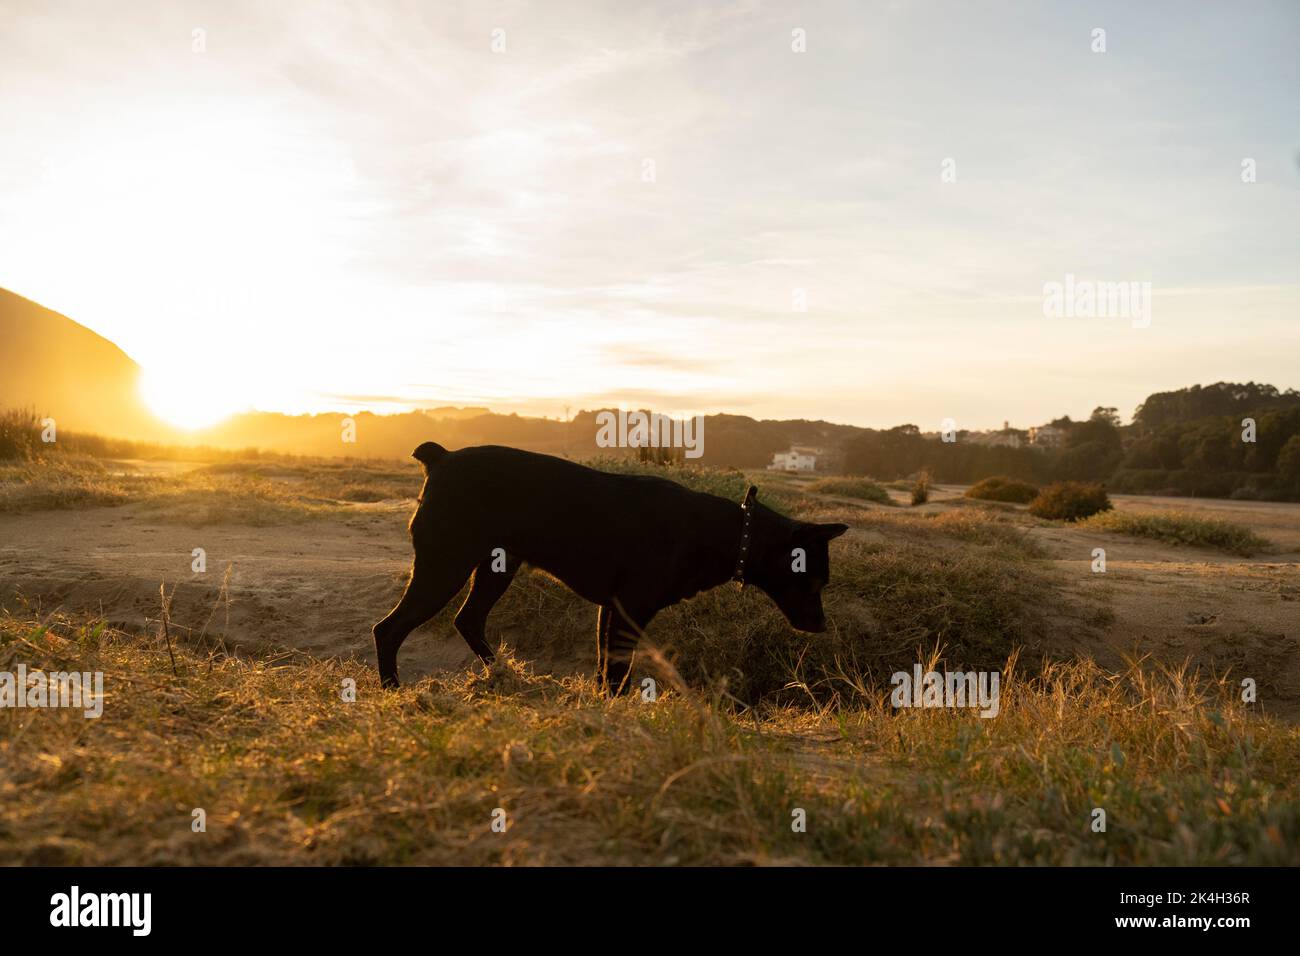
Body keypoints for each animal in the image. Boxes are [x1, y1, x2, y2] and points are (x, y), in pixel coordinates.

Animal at [371, 444, 847, 691]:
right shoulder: (629, 612)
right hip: (444, 567)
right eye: (815, 582)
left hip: (496, 567)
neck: (733, 533)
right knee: (389, 629)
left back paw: (504, 674)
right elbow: (618, 676)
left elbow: (606, 673)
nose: (822, 626)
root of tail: (442, 457)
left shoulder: (611, 611)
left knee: (468, 620)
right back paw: (394, 691)